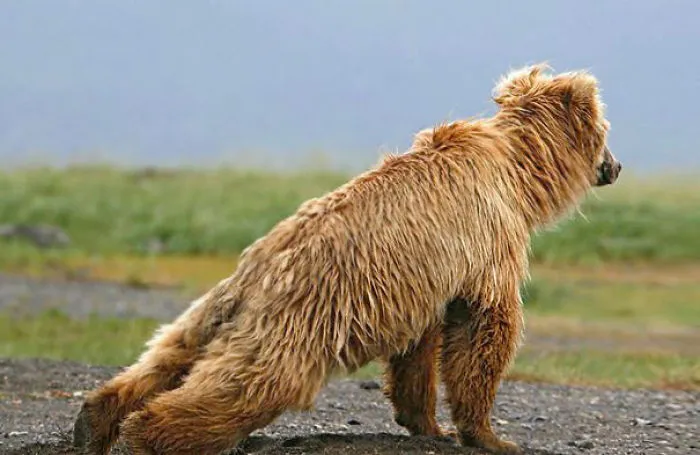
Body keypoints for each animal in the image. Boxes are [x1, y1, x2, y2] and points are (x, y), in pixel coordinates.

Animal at [72, 63, 621, 455]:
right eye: (607, 132)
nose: (615, 167)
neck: (520, 176)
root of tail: (256, 272)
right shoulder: (487, 241)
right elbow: (484, 329)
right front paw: (490, 435)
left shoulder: (425, 276)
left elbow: (418, 351)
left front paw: (428, 425)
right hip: (299, 319)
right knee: (252, 383)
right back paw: (146, 435)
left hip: (212, 310)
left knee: (166, 356)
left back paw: (93, 421)